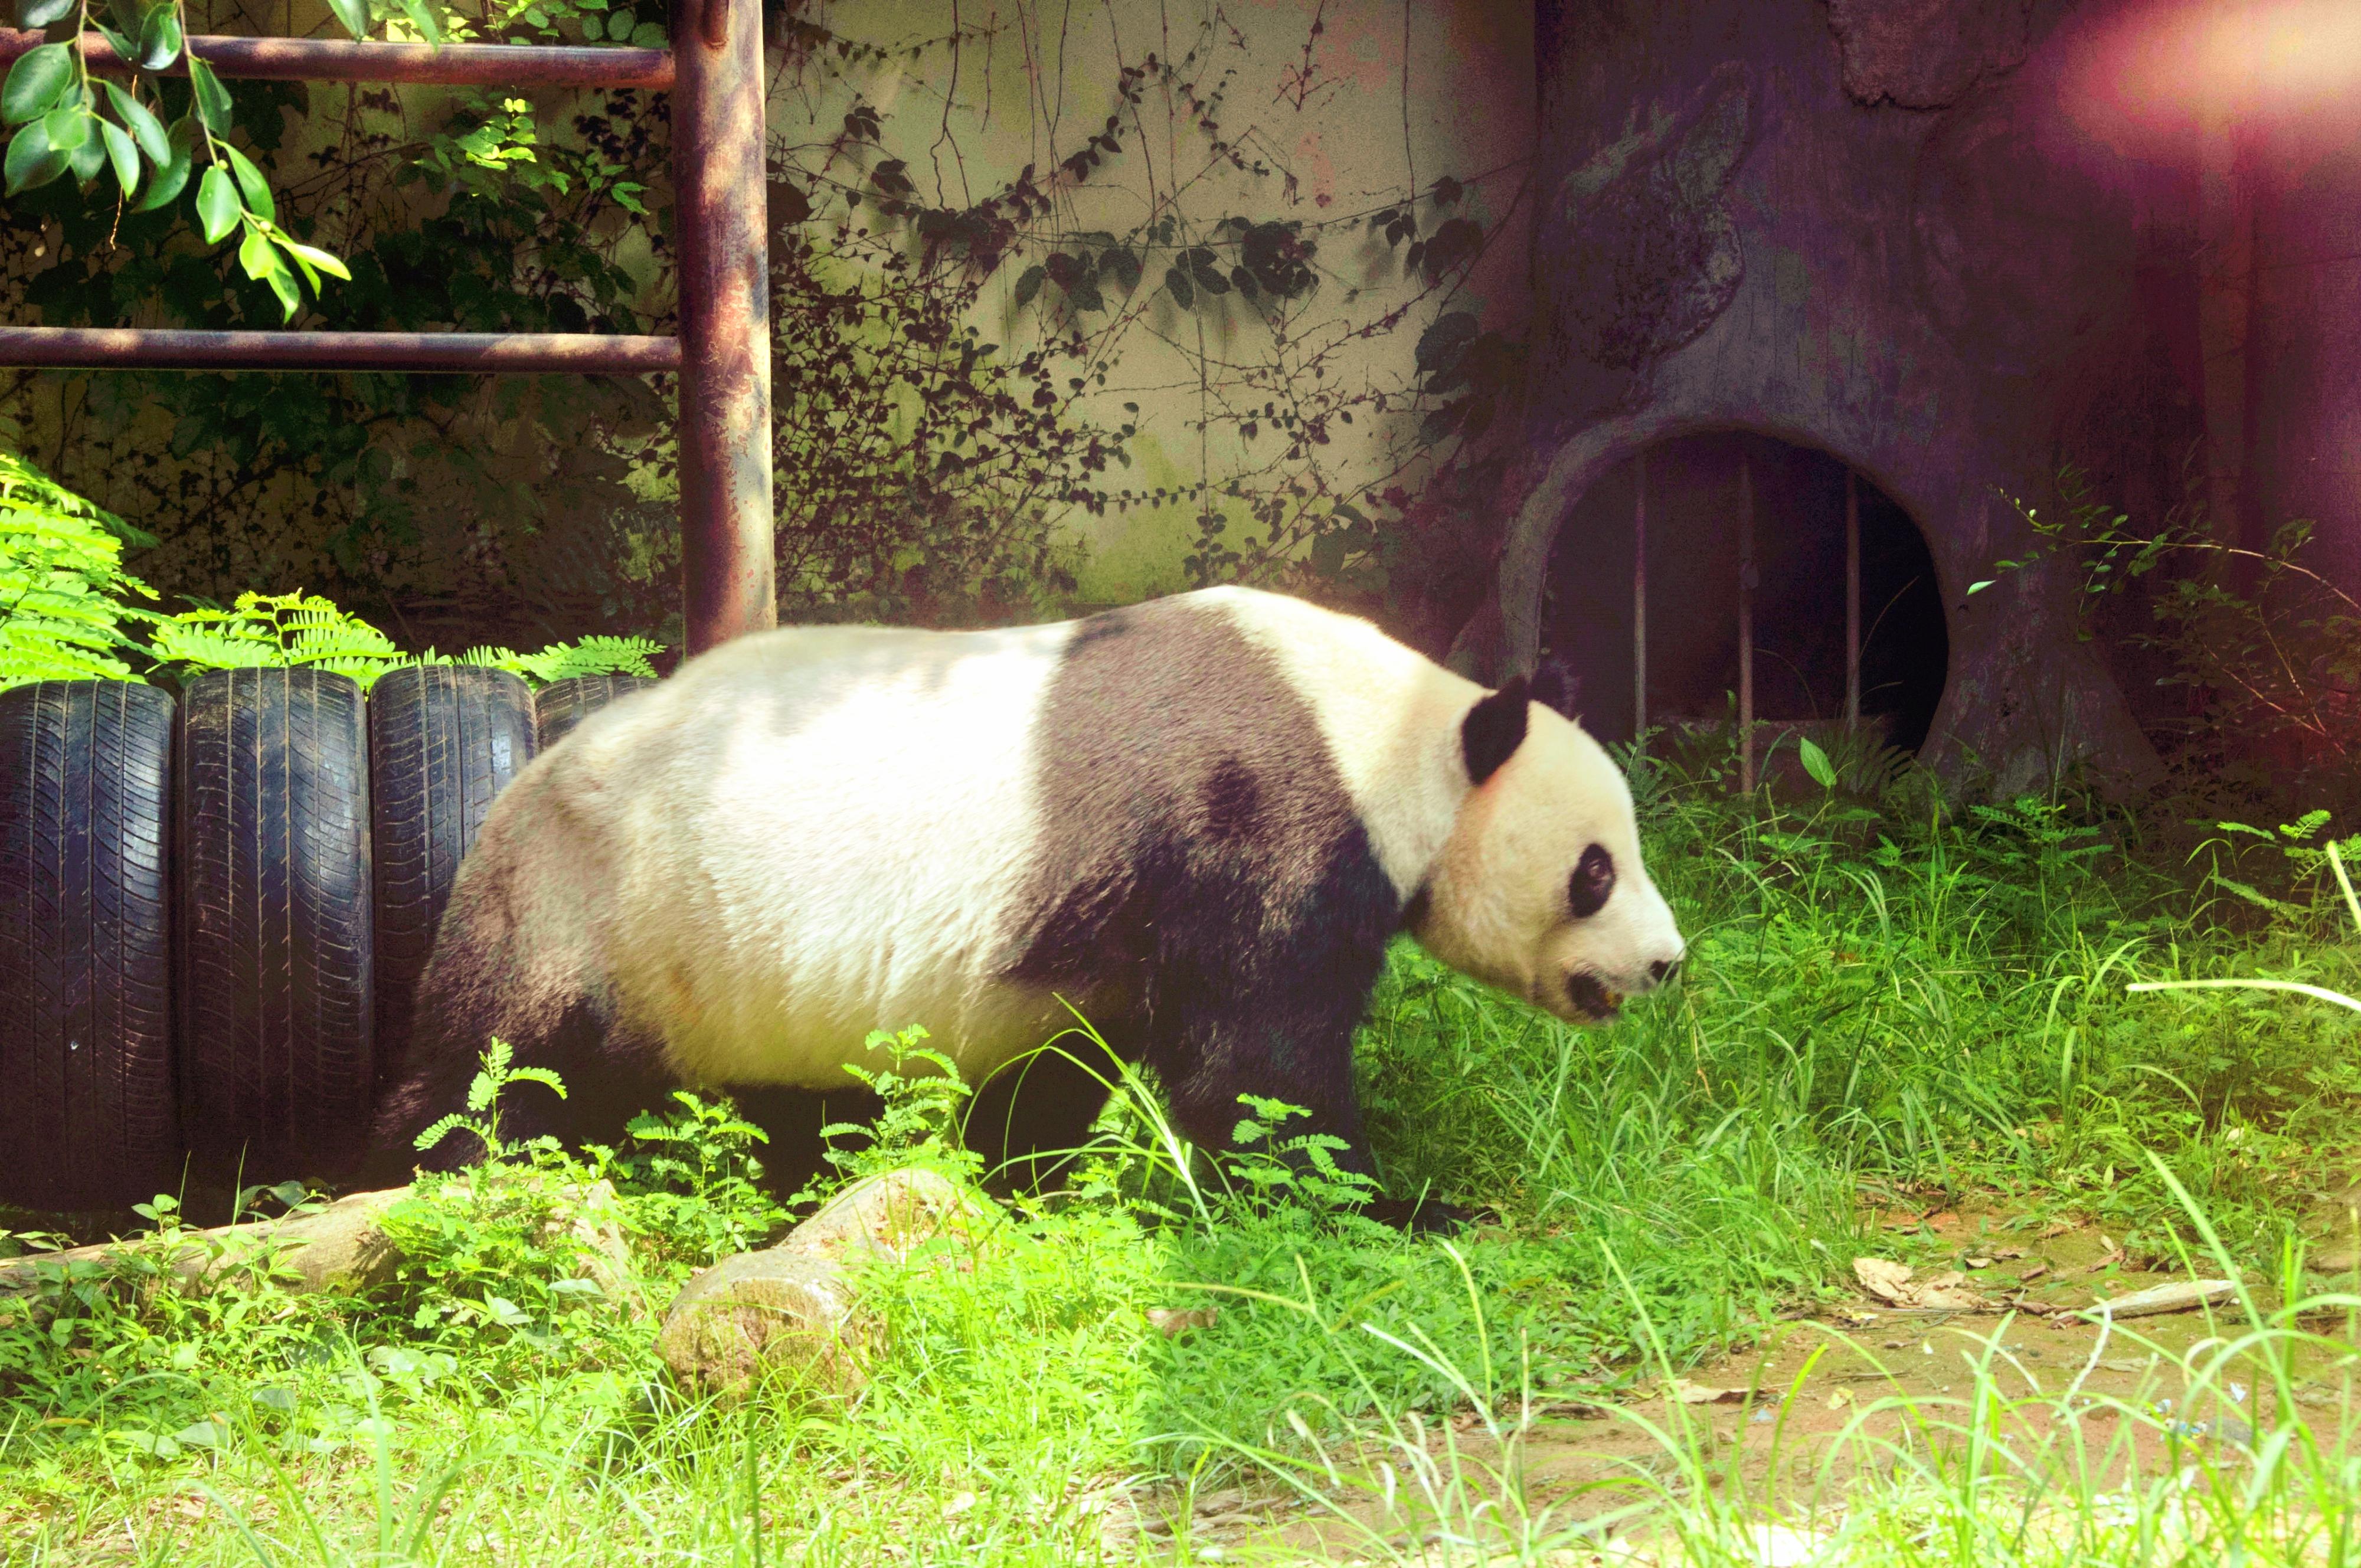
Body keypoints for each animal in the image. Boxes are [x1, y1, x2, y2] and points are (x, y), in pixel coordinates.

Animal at [368, 581, 1690, 1218]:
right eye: (1595, 868)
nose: (1665, 961)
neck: (1396, 730)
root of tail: (520, 781)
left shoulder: (1083, 938)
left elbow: (1071, 1060)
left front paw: (1024, 1183)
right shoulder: (1256, 814)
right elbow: (1257, 1067)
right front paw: (1410, 1206)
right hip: (594, 903)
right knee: (495, 1063)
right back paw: (428, 1176)